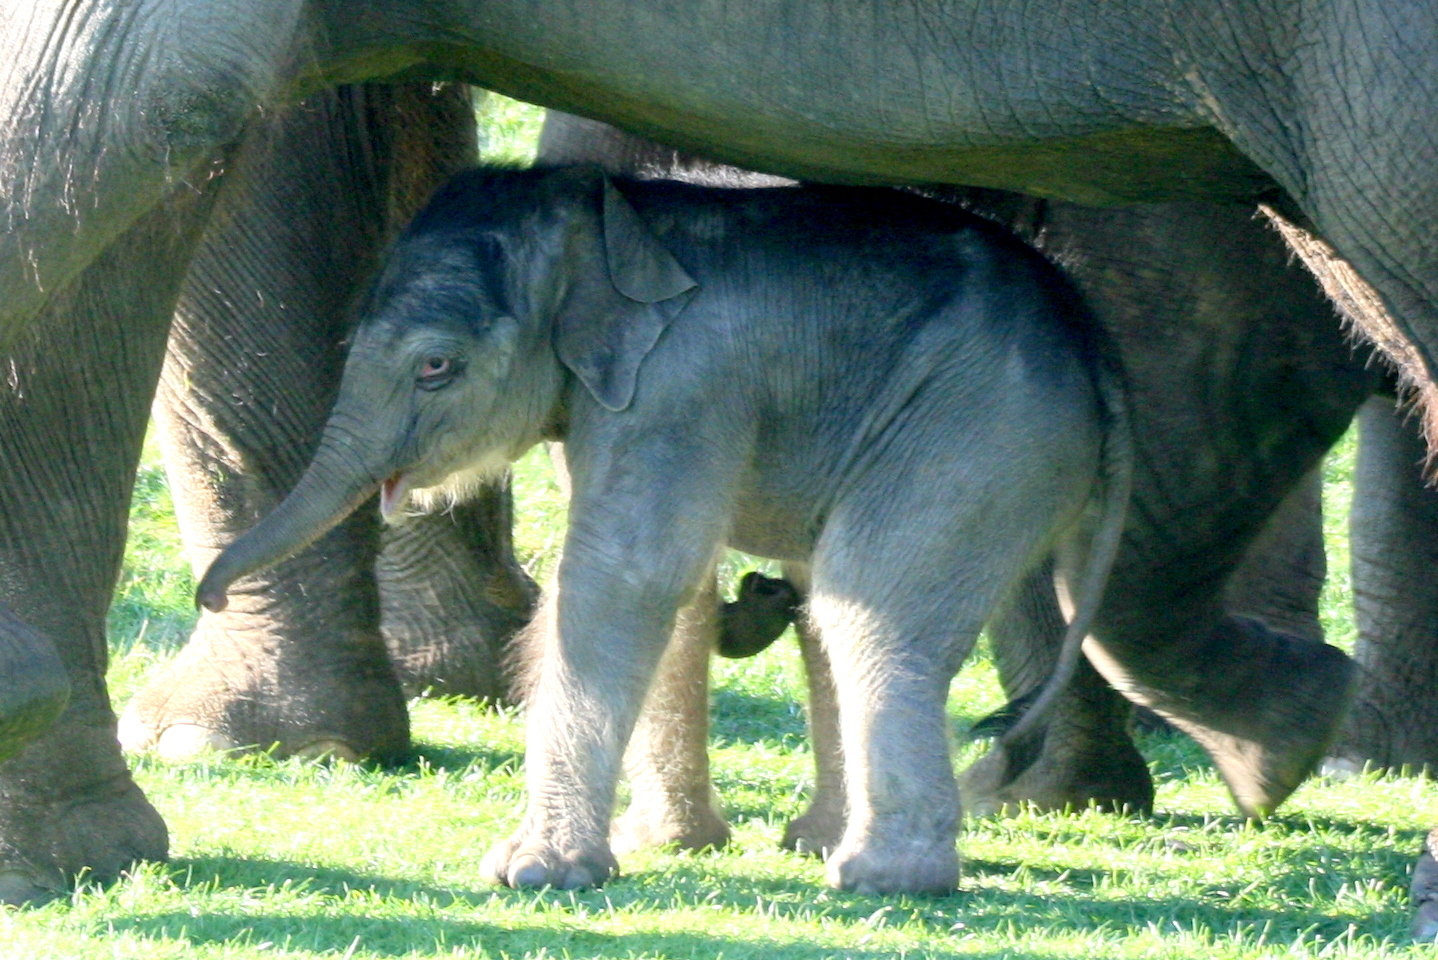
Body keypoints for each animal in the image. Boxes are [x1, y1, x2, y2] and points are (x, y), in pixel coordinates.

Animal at [196, 164, 1135, 894]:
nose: (209, 594)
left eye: (436, 366)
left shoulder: (680, 383)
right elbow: (675, 588)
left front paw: (534, 873)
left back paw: (881, 877)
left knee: (869, 604)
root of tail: (1097, 345)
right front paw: (661, 845)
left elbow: (625, 576)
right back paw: (820, 841)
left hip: (981, 434)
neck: (605, 217)